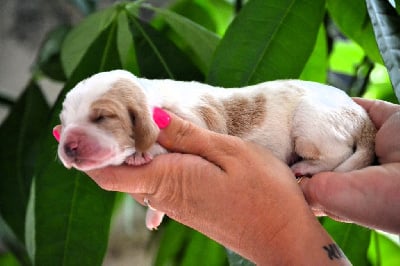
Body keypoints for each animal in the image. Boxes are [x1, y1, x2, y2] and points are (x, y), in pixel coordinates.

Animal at [53, 69, 376, 230]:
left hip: (311, 123)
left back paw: (306, 166)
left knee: (335, 154)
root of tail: (362, 118)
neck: (150, 95)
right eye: (63, 122)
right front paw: (153, 216)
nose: (67, 146)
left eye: (102, 117)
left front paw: (140, 153)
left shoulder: (194, 121)